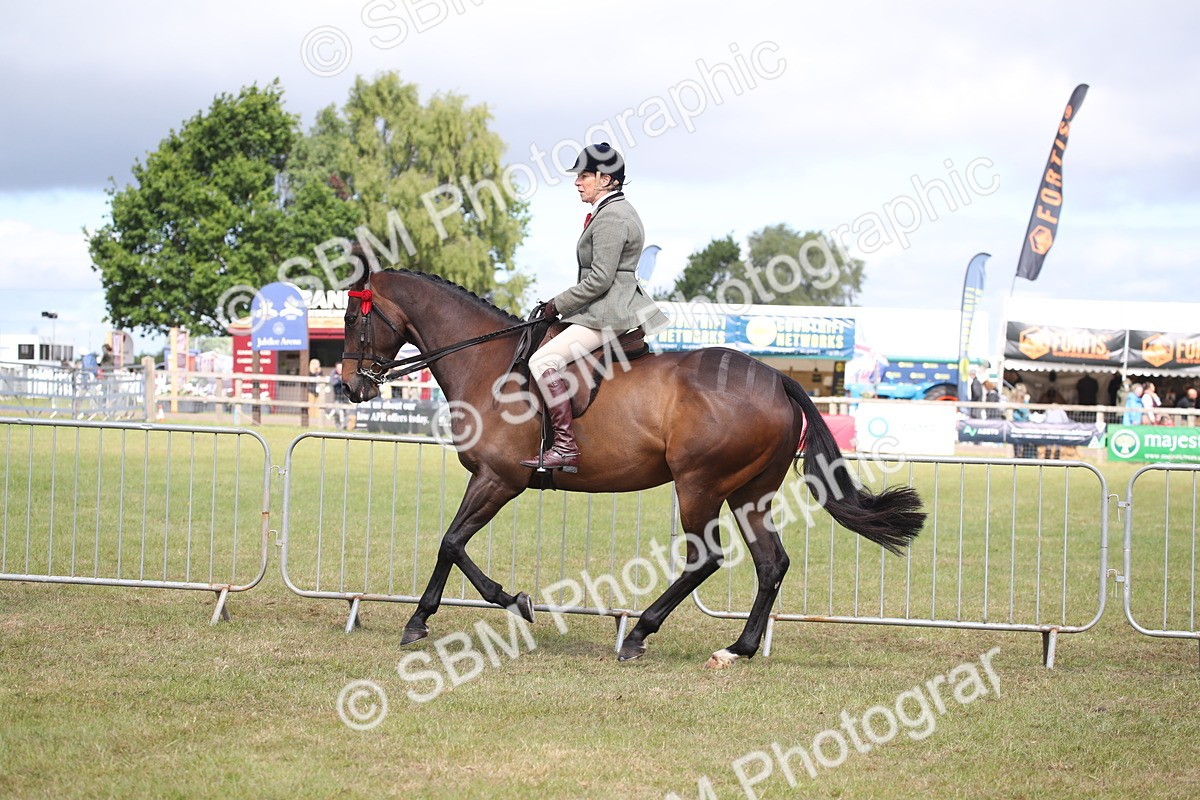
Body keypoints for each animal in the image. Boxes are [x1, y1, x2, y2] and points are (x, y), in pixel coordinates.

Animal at [340, 268, 926, 669]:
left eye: (351, 317)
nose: (350, 387)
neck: (489, 365)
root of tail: (776, 378)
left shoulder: (499, 479)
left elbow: (451, 541)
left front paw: (491, 605)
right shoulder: (487, 479)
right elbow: (452, 543)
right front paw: (442, 614)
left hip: (698, 486)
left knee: (706, 559)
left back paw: (641, 633)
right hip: (748, 494)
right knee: (770, 562)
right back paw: (737, 648)